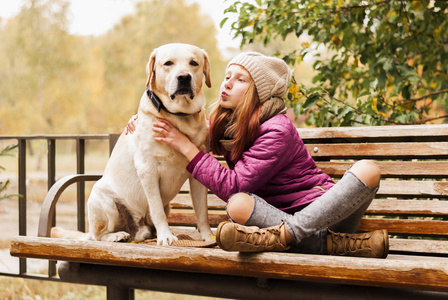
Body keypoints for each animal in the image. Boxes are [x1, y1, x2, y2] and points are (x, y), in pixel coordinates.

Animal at [51, 43, 213, 245]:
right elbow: (156, 209)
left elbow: (202, 210)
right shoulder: (147, 169)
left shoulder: (197, 173)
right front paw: (166, 236)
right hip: (104, 201)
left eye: (194, 63)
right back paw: (117, 235)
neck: (179, 117)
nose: (184, 77)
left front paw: (207, 236)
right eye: (168, 63)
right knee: (98, 236)